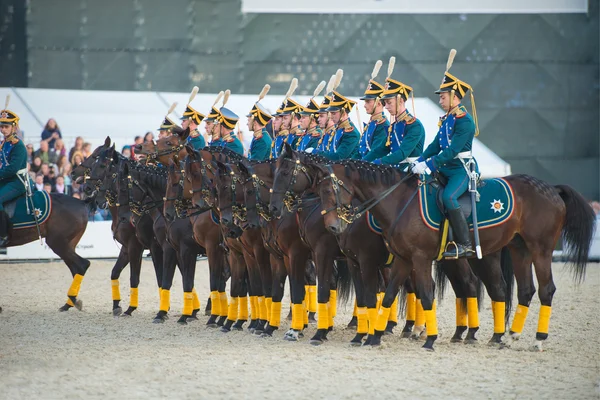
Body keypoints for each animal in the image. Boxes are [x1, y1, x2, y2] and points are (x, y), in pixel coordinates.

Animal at [312, 158, 592, 352]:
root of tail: (550, 188)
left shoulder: (416, 258)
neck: (399, 201)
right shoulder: (403, 259)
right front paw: (375, 337)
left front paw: (430, 339)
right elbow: (389, 296)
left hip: (539, 249)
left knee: (544, 289)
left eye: (329, 191)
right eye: (319, 190)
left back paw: (537, 340)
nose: (333, 227)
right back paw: (506, 336)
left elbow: (425, 294)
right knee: (522, 290)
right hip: (518, 249)